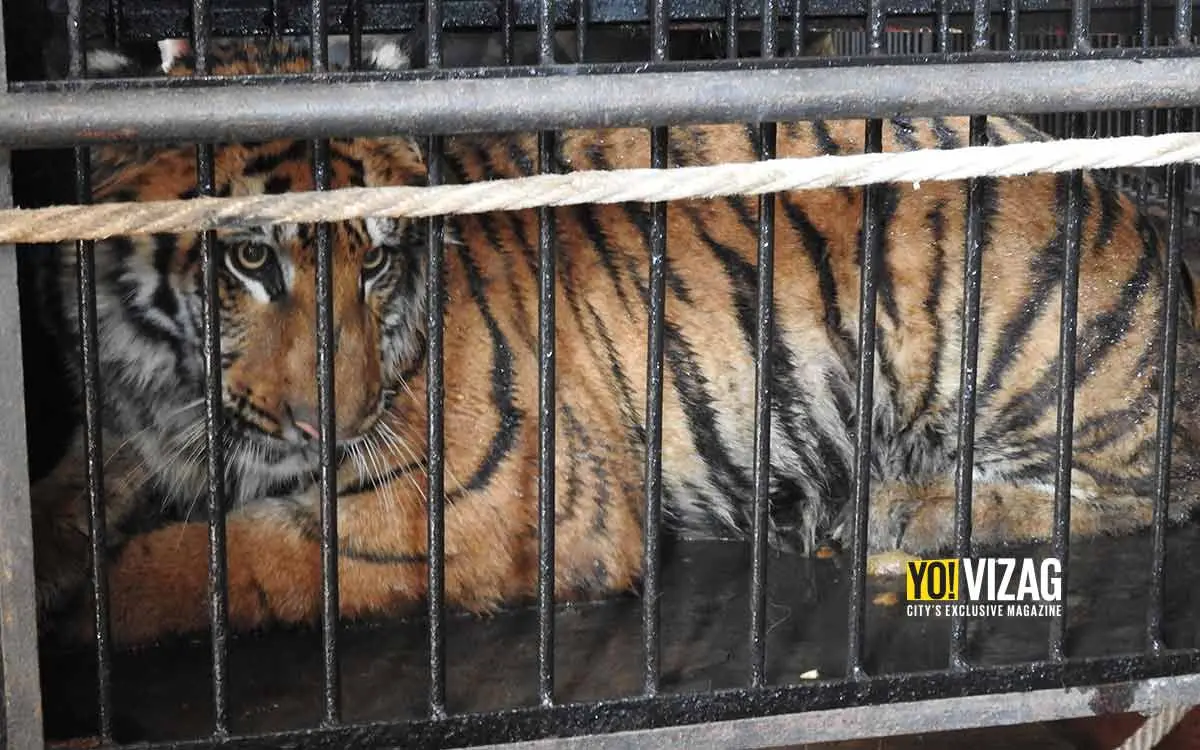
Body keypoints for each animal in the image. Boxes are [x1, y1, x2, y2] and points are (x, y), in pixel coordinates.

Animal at [30, 36, 1200, 647]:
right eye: (249, 261)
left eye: (376, 262)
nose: (337, 421)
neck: (172, 388)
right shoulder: (140, 429)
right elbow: (70, 492)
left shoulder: (502, 498)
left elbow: (233, 554)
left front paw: (88, 611)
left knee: (1150, 488)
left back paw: (893, 510)